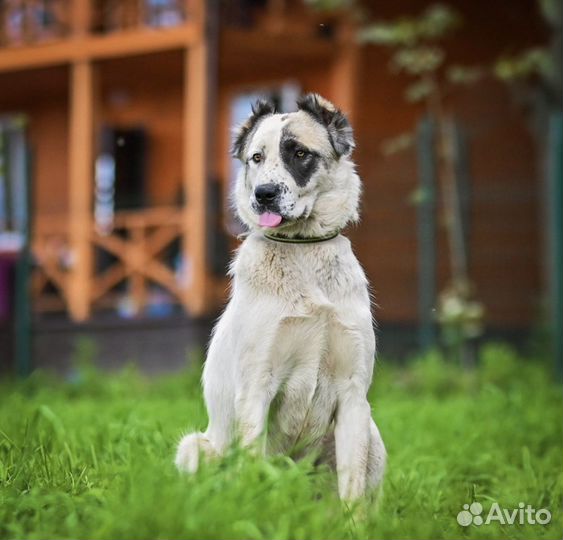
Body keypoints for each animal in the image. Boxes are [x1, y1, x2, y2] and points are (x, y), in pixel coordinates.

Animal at [176, 93, 388, 502]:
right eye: (256, 158)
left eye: (299, 153)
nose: (264, 195)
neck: (304, 249)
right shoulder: (257, 386)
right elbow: (250, 466)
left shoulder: (354, 395)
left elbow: (352, 488)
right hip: (194, 447)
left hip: (374, 435)